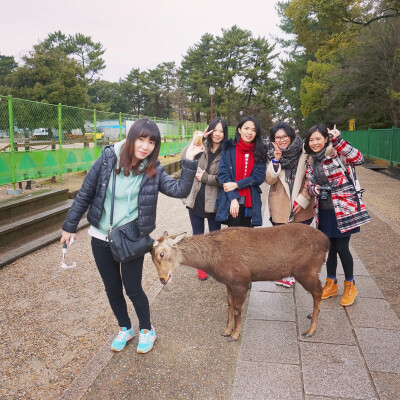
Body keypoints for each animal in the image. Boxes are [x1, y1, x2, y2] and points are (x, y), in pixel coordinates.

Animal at [150, 223, 328, 342]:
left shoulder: (241, 280)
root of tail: (327, 242)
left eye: (161, 254)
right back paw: (310, 315)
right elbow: (229, 306)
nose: (163, 279)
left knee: (319, 291)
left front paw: (235, 335)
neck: (215, 261)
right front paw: (226, 331)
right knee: (317, 292)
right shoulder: (229, 283)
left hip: (306, 270)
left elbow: (237, 309)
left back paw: (310, 330)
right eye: (151, 256)